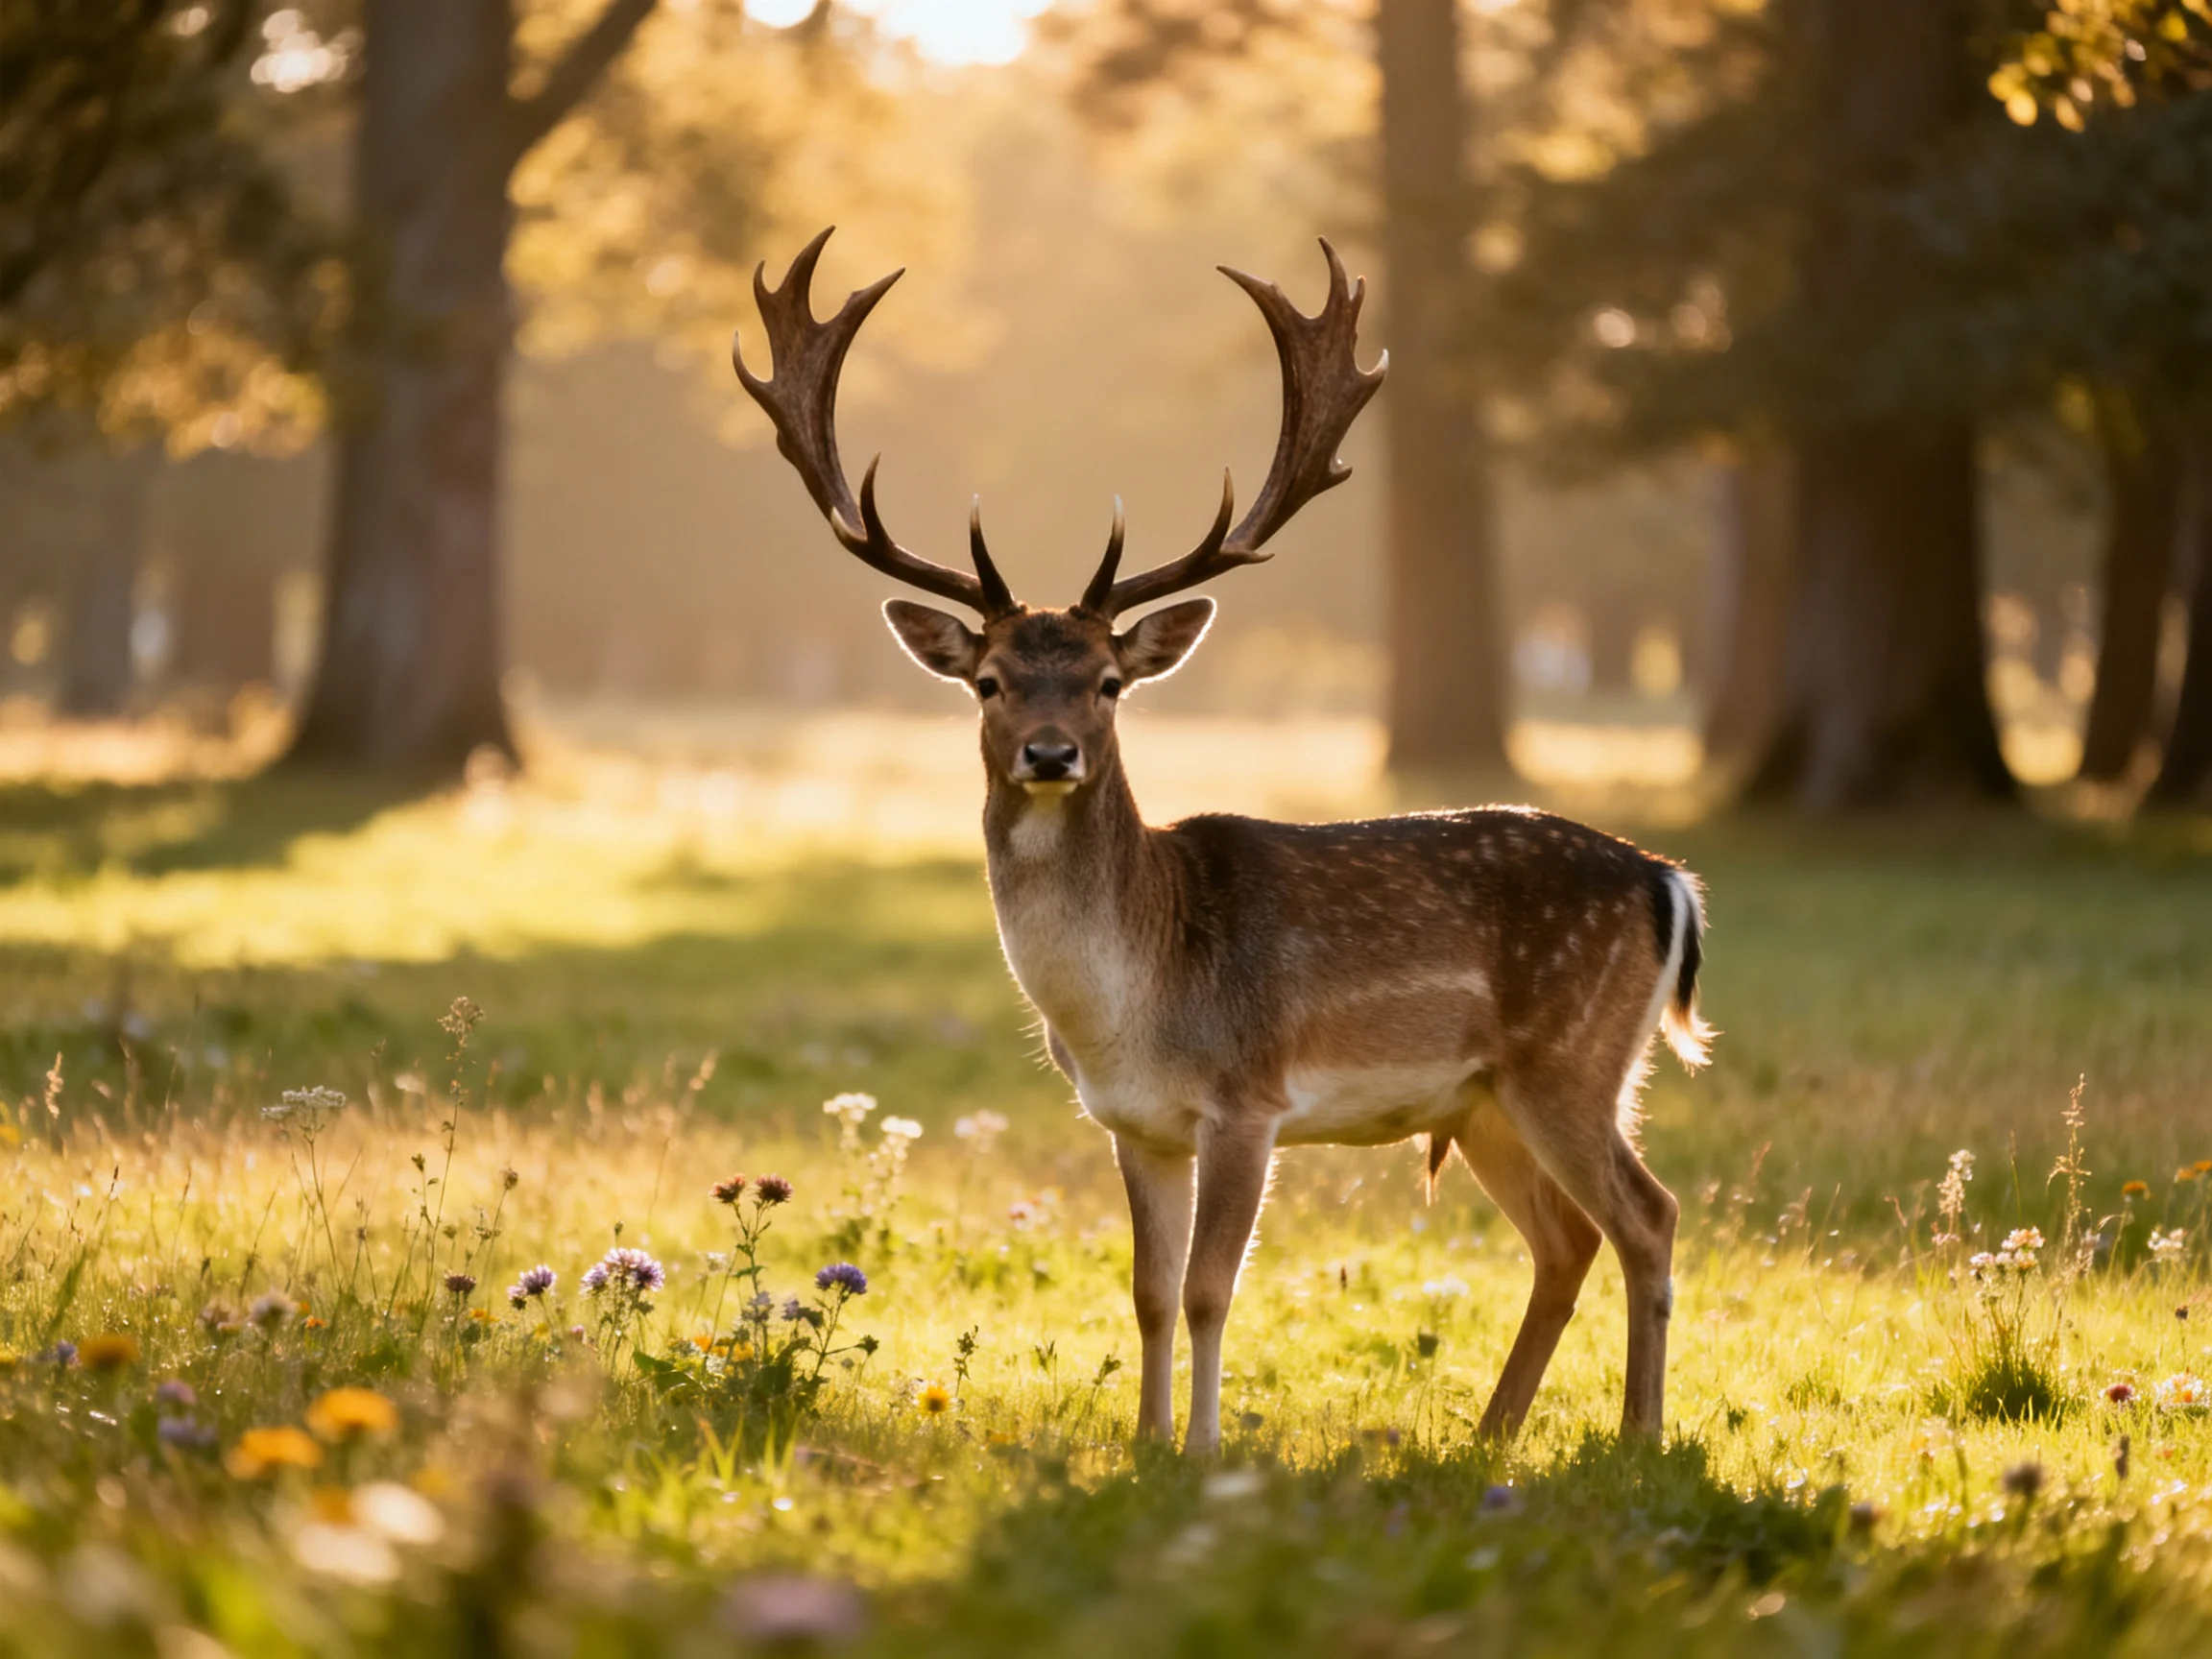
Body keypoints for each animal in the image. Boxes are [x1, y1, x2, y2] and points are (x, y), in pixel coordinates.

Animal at [733, 228, 1713, 1455]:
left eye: (1108, 681)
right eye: (990, 680)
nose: (1050, 753)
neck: (1130, 1006)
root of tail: (1669, 883)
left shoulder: (1250, 1099)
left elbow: (1210, 1290)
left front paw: (1200, 1451)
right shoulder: (1135, 1124)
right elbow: (1149, 1292)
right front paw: (1146, 1446)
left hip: (1570, 1060)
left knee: (1649, 1216)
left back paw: (1638, 1440)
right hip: (1486, 1098)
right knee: (1566, 1240)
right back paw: (1490, 1437)